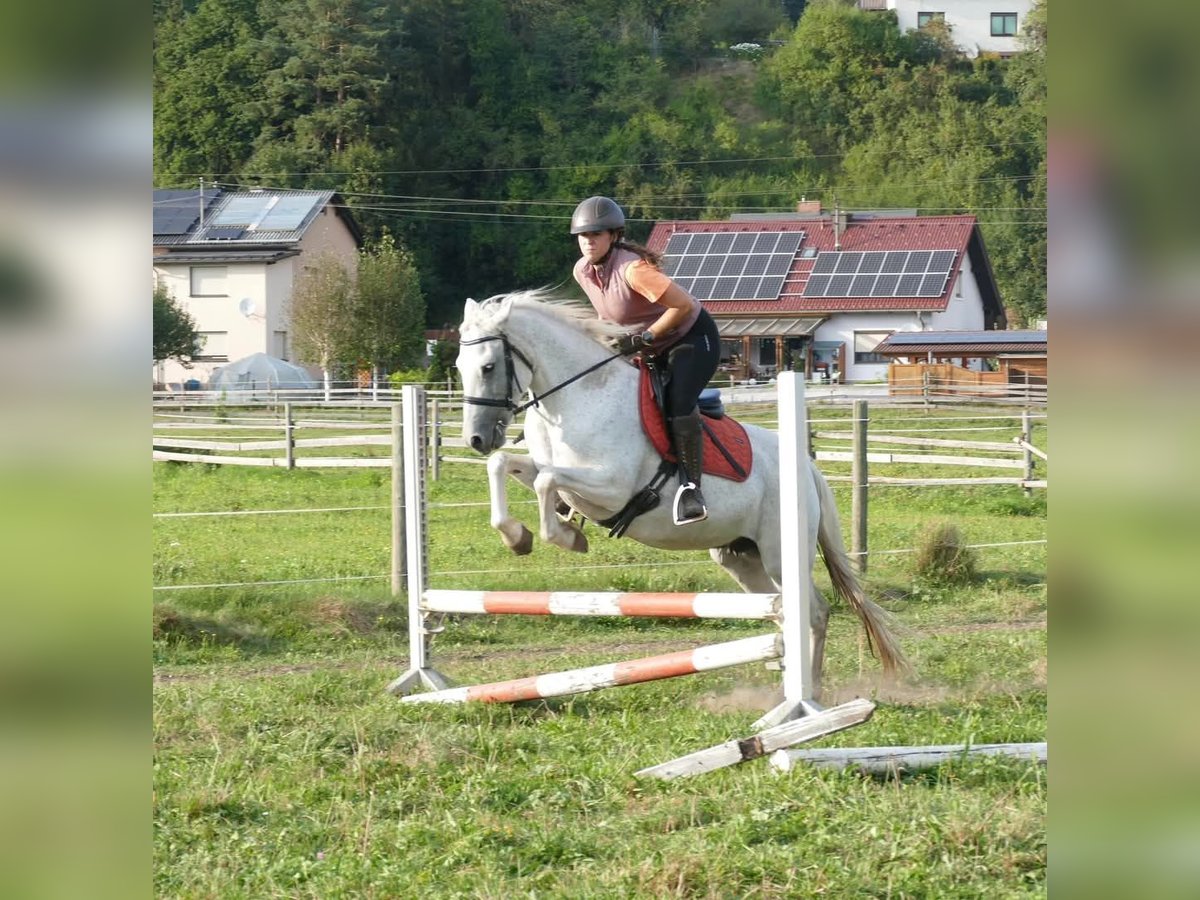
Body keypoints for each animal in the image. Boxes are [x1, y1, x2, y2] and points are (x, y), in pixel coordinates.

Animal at [453, 292, 902, 700]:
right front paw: (518, 535)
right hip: (742, 559)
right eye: (459, 367)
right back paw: (784, 677)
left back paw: (810, 693)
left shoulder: (611, 487)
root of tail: (807, 469)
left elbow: (546, 482)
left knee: (815, 612)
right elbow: (506, 467)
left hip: (780, 553)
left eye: (488, 367)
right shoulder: (554, 473)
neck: (577, 397)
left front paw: (565, 537)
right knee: (781, 612)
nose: (476, 439)